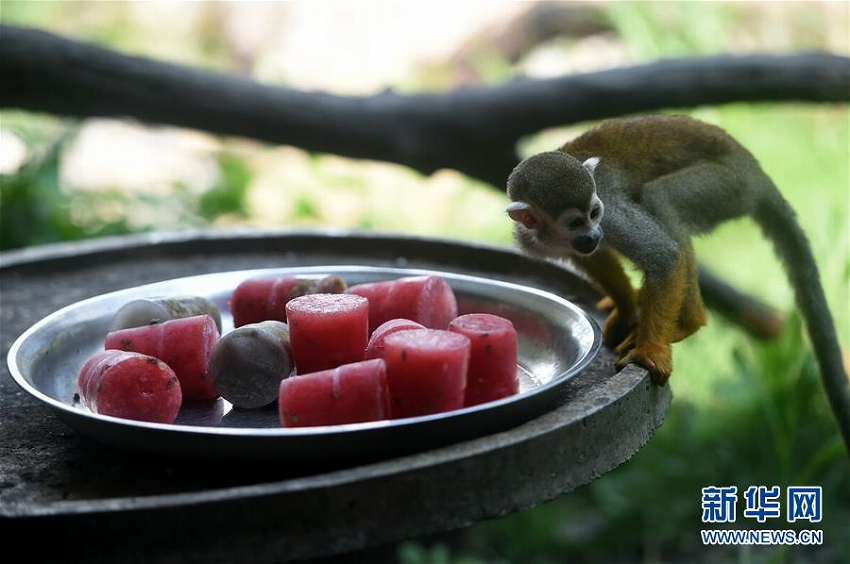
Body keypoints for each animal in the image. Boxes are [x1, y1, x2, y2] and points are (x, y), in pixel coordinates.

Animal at [506, 113, 844, 450]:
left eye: (594, 212)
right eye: (576, 223)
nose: (593, 234)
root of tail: (754, 170)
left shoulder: (612, 214)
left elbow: (665, 257)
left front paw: (649, 351)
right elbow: (592, 257)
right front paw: (626, 308)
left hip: (729, 186)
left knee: (661, 199)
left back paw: (689, 321)